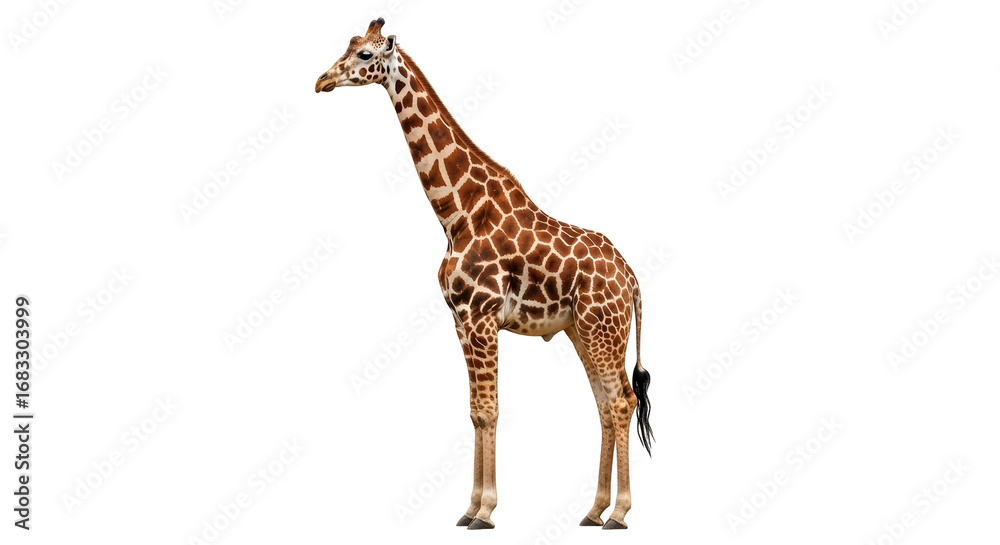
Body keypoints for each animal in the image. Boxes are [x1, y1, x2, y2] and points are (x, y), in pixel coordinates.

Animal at [315, 18, 654, 530]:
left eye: (364, 55)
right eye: (348, 46)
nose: (322, 81)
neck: (457, 213)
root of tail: (632, 278)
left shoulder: (482, 316)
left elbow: (491, 410)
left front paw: (488, 510)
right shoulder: (460, 320)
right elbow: (475, 411)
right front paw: (469, 507)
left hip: (603, 330)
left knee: (621, 401)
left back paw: (618, 513)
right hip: (582, 331)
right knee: (603, 404)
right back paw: (593, 510)